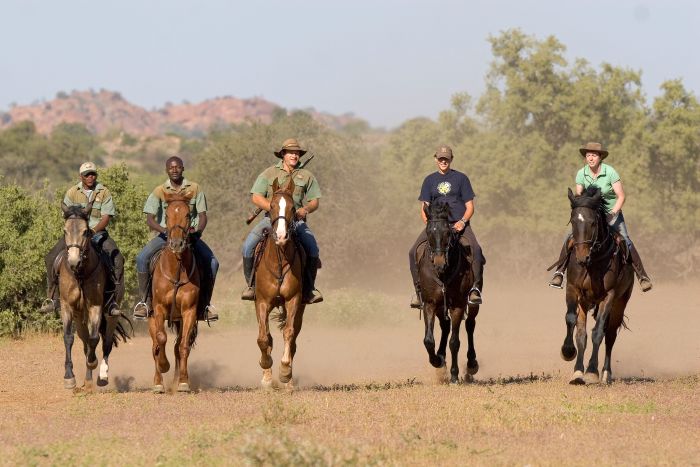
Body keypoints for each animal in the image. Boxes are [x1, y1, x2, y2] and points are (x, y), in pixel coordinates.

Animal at [59, 203, 131, 390]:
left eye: (85, 231)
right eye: (65, 230)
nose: (73, 261)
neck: (81, 274)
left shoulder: (96, 307)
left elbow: (95, 339)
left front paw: (93, 363)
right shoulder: (67, 306)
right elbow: (69, 338)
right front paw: (69, 377)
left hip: (111, 314)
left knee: (106, 342)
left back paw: (102, 376)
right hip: (79, 318)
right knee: (85, 343)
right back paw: (88, 379)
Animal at [149, 192, 200, 394]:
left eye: (188, 214)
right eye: (167, 214)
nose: (177, 244)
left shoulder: (189, 311)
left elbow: (183, 346)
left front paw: (184, 382)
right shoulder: (159, 308)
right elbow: (161, 339)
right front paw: (164, 366)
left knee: (178, 346)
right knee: (155, 345)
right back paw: (158, 382)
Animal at [416, 202, 482, 384]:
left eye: (447, 232)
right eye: (429, 232)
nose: (439, 263)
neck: (443, 274)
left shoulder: (458, 306)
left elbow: (455, 341)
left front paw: (454, 375)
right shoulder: (430, 304)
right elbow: (428, 340)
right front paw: (437, 361)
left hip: (471, 304)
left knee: (470, 325)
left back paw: (471, 364)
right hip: (440, 306)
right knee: (445, 327)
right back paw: (441, 359)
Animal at [560, 185, 636, 386]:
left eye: (593, 223)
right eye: (573, 221)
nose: (582, 257)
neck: (593, 262)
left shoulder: (608, 296)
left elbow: (598, 332)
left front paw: (591, 371)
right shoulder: (573, 290)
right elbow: (573, 323)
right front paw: (571, 357)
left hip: (620, 303)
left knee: (609, 335)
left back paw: (605, 374)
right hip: (586, 302)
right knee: (584, 333)